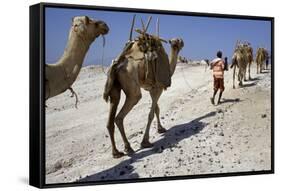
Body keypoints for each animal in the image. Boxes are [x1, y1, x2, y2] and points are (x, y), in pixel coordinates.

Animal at [103, 17, 184, 158]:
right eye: (177, 41)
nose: (182, 41)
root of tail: (118, 64)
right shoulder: (158, 88)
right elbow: (151, 114)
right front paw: (145, 142)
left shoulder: (151, 88)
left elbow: (157, 109)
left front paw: (161, 129)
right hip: (132, 88)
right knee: (120, 116)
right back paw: (128, 148)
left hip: (114, 88)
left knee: (111, 118)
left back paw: (116, 152)